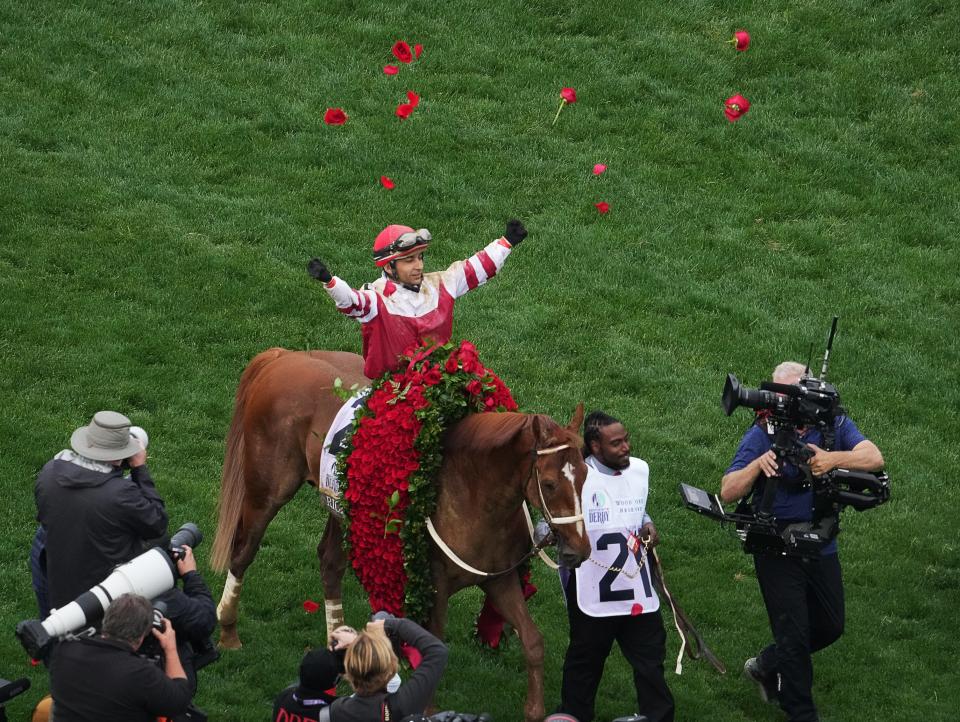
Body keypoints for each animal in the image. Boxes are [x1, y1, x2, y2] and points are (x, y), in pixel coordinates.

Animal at [210, 346, 592, 716]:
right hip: (266, 493)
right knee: (243, 552)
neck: (469, 491)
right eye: (549, 483)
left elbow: (533, 641)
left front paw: (534, 709)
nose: (580, 550)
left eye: (587, 475)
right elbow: (434, 649)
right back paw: (228, 630)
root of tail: (282, 356)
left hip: (342, 511)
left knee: (329, 563)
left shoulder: (500, 579)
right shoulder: (435, 586)